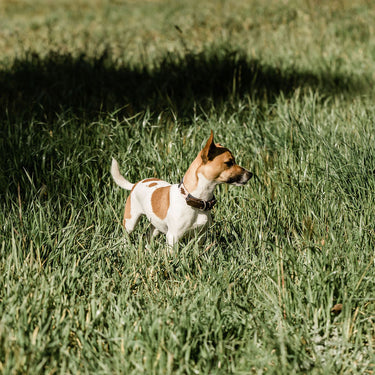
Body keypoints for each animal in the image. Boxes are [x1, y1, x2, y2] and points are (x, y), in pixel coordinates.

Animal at [111, 131, 253, 247]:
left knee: (148, 238)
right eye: (229, 163)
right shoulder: (173, 237)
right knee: (127, 235)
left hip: (156, 226)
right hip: (130, 222)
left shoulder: (200, 237)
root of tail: (136, 184)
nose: (250, 174)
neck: (194, 199)